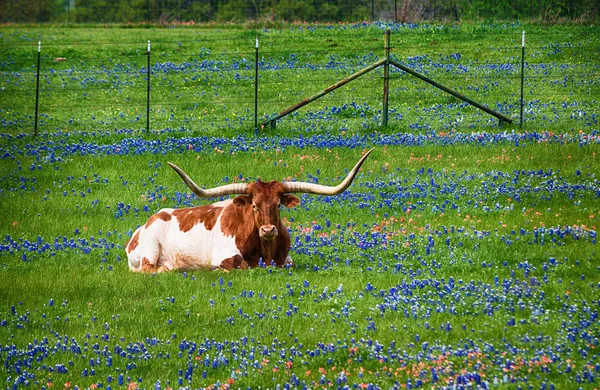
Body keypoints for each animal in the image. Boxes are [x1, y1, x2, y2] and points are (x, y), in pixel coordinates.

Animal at [126, 148, 370, 272]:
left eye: (278, 204)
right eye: (254, 205)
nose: (268, 230)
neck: (267, 251)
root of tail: (145, 223)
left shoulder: (287, 260)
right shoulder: (226, 256)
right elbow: (241, 264)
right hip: (150, 250)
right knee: (151, 269)